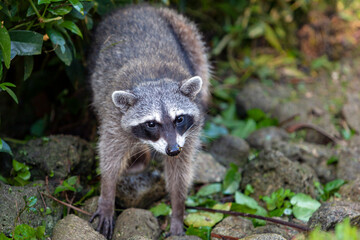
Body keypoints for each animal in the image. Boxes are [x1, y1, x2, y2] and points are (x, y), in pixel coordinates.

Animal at [88, 4, 210, 238]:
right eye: (151, 124)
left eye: (179, 119)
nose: (173, 150)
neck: (154, 81)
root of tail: (136, 7)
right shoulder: (114, 118)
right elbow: (109, 156)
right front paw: (107, 194)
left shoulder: (189, 132)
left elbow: (180, 171)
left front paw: (178, 209)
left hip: (186, 32)